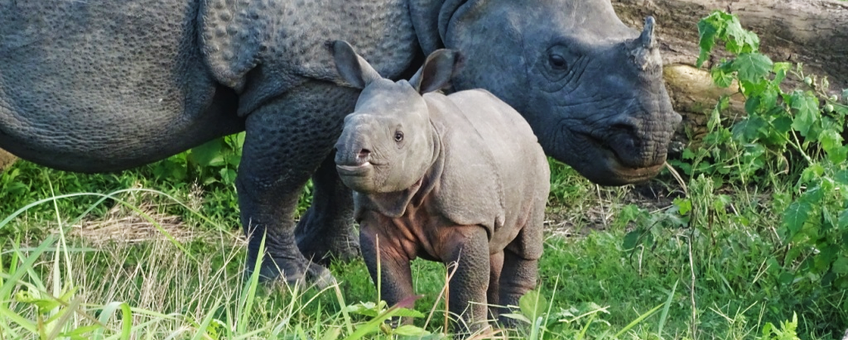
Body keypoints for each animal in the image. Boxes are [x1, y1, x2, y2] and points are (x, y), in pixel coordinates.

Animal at [332, 41, 548, 334]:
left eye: (398, 136)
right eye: (344, 124)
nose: (350, 152)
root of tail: (517, 115)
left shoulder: (467, 217)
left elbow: (468, 284)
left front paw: (474, 335)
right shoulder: (375, 218)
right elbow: (391, 284)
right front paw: (396, 329)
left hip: (536, 160)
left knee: (525, 244)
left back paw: (516, 329)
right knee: (494, 246)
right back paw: (499, 327)